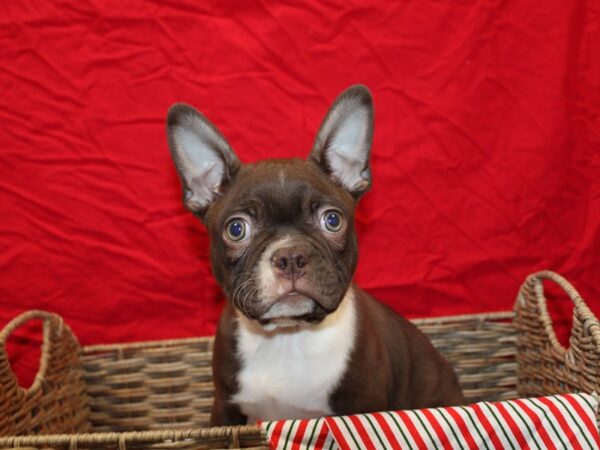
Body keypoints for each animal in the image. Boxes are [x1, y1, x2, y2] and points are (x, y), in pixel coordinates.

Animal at [166, 84, 466, 426]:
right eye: (237, 229)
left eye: (332, 220)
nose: (290, 256)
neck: (289, 335)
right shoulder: (224, 408)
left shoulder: (363, 410)